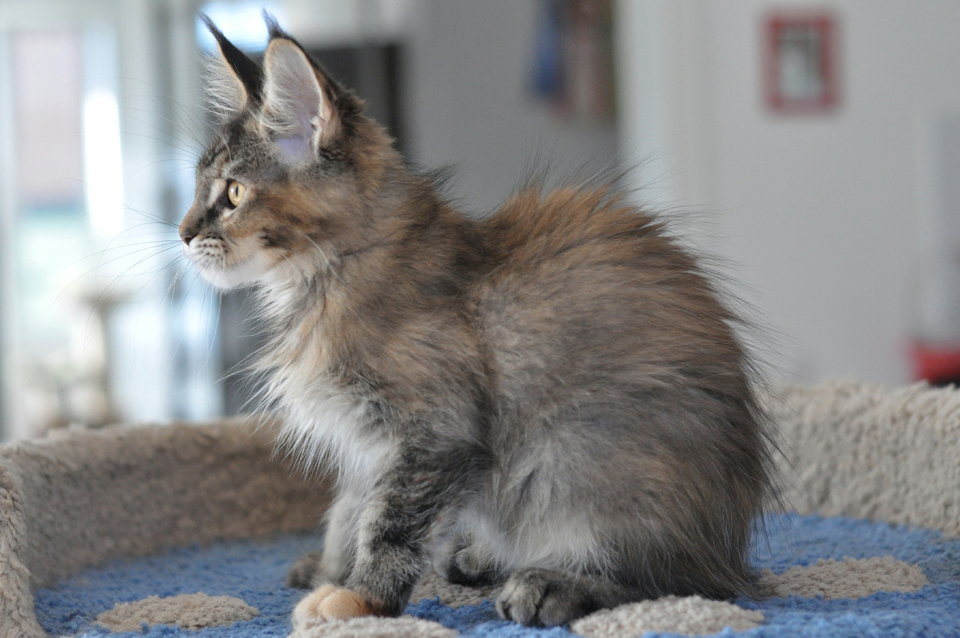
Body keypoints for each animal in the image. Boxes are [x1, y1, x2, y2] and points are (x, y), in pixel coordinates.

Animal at [180, 15, 776, 632]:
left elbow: (389, 526)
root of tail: (730, 544)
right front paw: (329, 570)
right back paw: (475, 556)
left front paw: (359, 599)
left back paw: (548, 583)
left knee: (679, 583)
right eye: (199, 190)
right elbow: (348, 512)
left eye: (233, 194)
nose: (182, 234)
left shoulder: (435, 433)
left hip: (571, 458)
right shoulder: (369, 448)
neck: (328, 276)